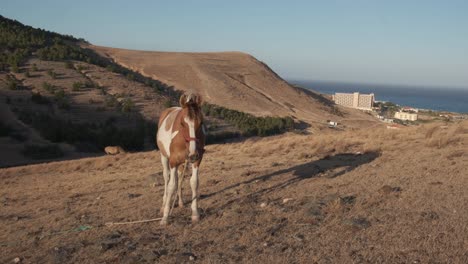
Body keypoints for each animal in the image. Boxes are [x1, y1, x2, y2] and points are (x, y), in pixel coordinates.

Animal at [157, 93, 205, 225]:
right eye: (182, 123)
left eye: (201, 123)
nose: (193, 154)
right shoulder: (173, 162)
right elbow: (171, 186)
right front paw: (165, 217)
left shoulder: (197, 161)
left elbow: (194, 182)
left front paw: (195, 214)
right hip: (164, 157)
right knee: (166, 177)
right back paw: (163, 205)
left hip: (183, 163)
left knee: (179, 177)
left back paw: (180, 202)